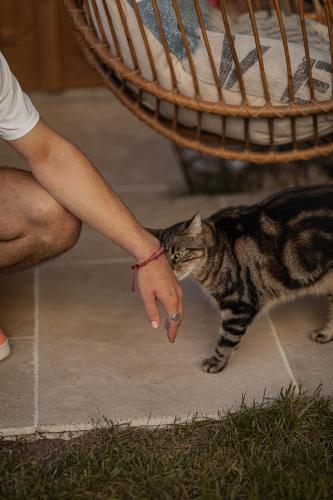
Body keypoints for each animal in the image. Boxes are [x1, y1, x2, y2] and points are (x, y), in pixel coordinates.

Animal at [149, 184, 330, 372]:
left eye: (179, 254)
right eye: (159, 259)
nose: (168, 270)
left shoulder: (238, 306)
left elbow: (226, 340)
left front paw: (216, 362)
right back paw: (324, 334)